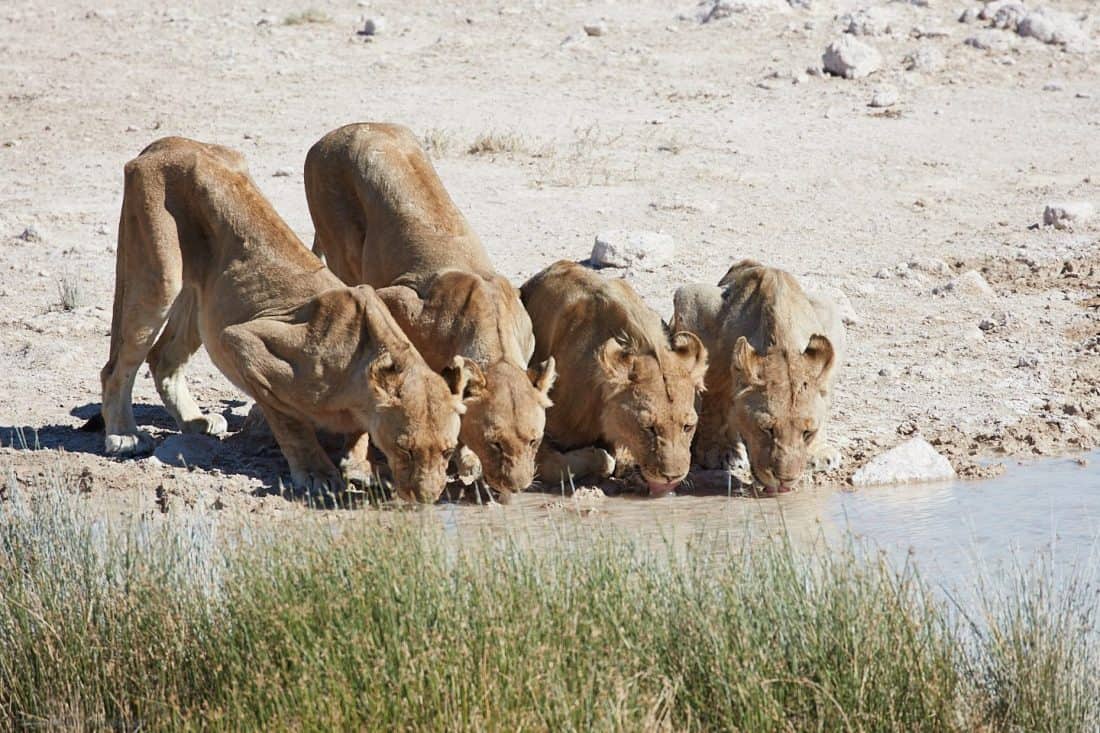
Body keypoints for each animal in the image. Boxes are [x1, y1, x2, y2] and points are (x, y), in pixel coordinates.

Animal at [94, 135, 473, 501]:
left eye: (446, 451)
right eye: (404, 449)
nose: (427, 496)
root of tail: (166, 142)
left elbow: (358, 430)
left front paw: (359, 464)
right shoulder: (245, 341)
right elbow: (291, 421)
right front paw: (319, 475)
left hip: (200, 301)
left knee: (163, 358)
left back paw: (195, 420)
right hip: (160, 276)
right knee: (117, 367)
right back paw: (125, 436)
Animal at [305, 122, 554, 499]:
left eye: (534, 441)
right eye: (495, 443)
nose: (517, 485)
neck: (491, 331)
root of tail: (333, 134)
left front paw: (467, 461)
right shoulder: (400, 300)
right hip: (340, 248)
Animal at [668, 259, 840, 493]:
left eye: (807, 432)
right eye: (766, 429)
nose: (785, 481)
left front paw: (817, 450)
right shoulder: (693, 300)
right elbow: (713, 388)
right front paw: (715, 450)